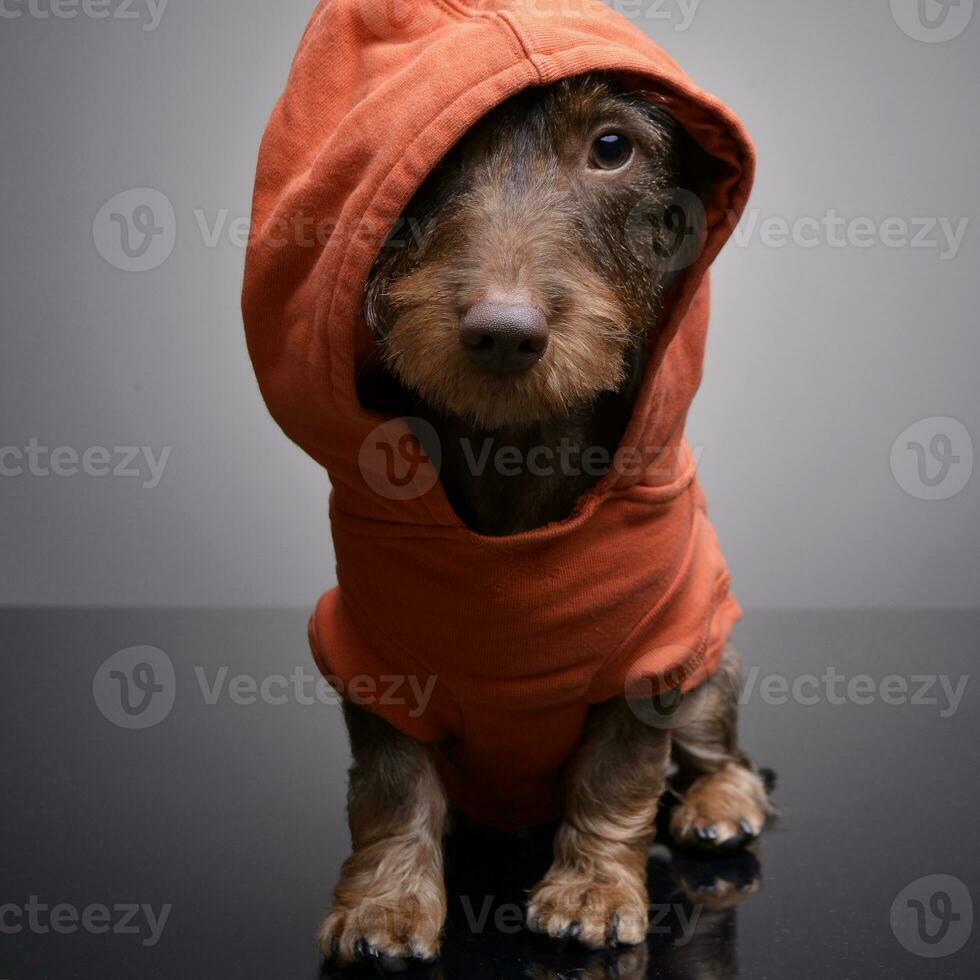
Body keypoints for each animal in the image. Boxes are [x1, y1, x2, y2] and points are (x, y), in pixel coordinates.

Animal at [316, 74, 772, 972]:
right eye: (435, 153)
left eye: (611, 147)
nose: (503, 334)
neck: (513, 449)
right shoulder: (375, 661)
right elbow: (390, 788)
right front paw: (387, 905)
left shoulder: (653, 653)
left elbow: (618, 774)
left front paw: (592, 892)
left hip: (709, 666)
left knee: (724, 752)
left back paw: (721, 801)